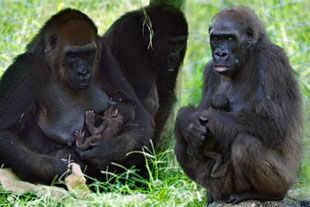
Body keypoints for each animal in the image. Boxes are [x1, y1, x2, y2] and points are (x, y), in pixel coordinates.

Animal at [0, 8, 153, 184]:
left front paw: (105, 151)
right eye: (73, 55)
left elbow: (138, 115)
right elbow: (5, 133)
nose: (83, 72)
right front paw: (57, 169)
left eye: (89, 53)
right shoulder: (27, 67)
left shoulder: (104, 56)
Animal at [102, 3, 189, 146]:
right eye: (171, 43)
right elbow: (147, 101)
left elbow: (165, 97)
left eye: (180, 43)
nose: (174, 57)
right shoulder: (130, 36)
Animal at [174, 5, 302, 205]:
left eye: (229, 38)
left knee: (246, 144)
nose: (220, 54)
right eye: (216, 39)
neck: (247, 56)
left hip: (286, 181)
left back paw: (265, 195)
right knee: (182, 142)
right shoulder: (209, 69)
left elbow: (274, 124)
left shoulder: (272, 60)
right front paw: (187, 120)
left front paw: (207, 118)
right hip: (223, 184)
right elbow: (194, 116)